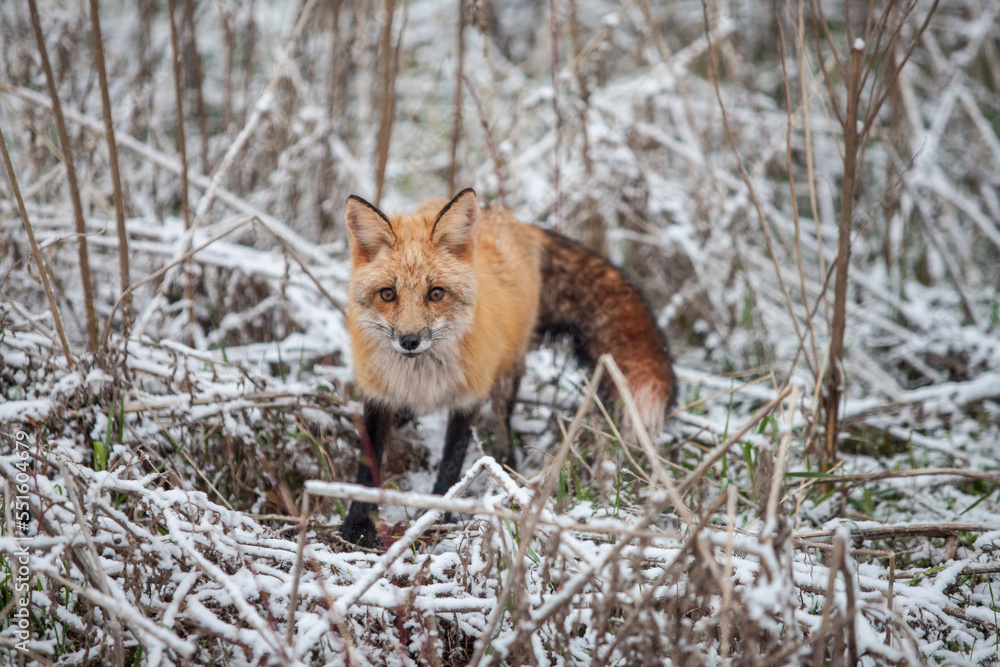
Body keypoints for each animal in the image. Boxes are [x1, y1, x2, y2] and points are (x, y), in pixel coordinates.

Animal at [339, 188, 676, 547]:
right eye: (388, 294)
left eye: (436, 294)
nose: (409, 341)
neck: (421, 377)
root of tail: (508, 217)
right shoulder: (378, 396)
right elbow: (368, 466)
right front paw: (356, 526)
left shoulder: (469, 396)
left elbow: (451, 466)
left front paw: (437, 519)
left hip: (506, 377)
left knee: (503, 431)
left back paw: (504, 472)